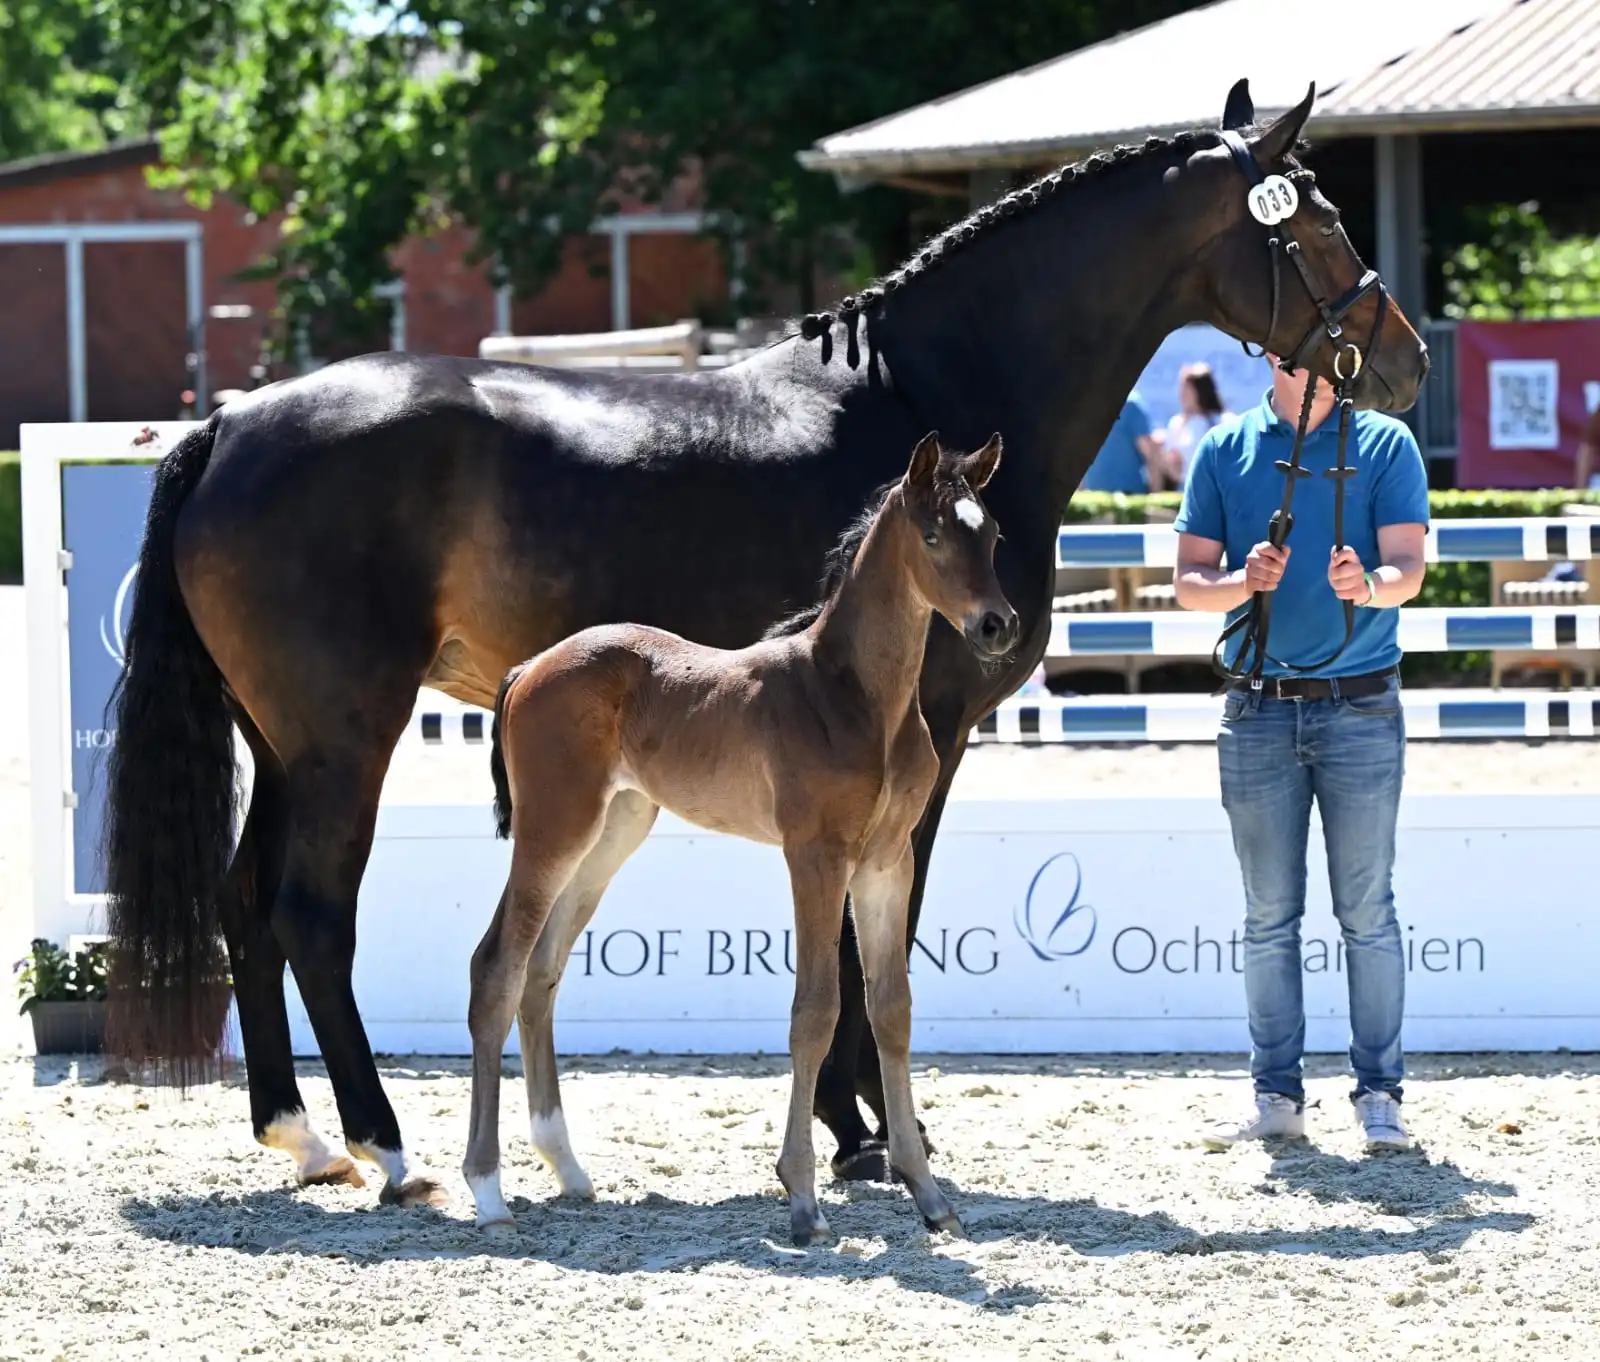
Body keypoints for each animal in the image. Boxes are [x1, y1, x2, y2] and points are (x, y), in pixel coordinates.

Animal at [473, 431, 1014, 1242]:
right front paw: (802, 1199)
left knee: (542, 972)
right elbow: (816, 1010)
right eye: (933, 535)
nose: (996, 625)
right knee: (497, 969)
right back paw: (487, 1191)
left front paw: (927, 1193)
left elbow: (891, 1009)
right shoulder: (815, 856)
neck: (856, 697)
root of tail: (532, 665)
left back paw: (568, 1169)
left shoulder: (887, 862)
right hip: (551, 831)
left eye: (994, 535)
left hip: (611, 833)